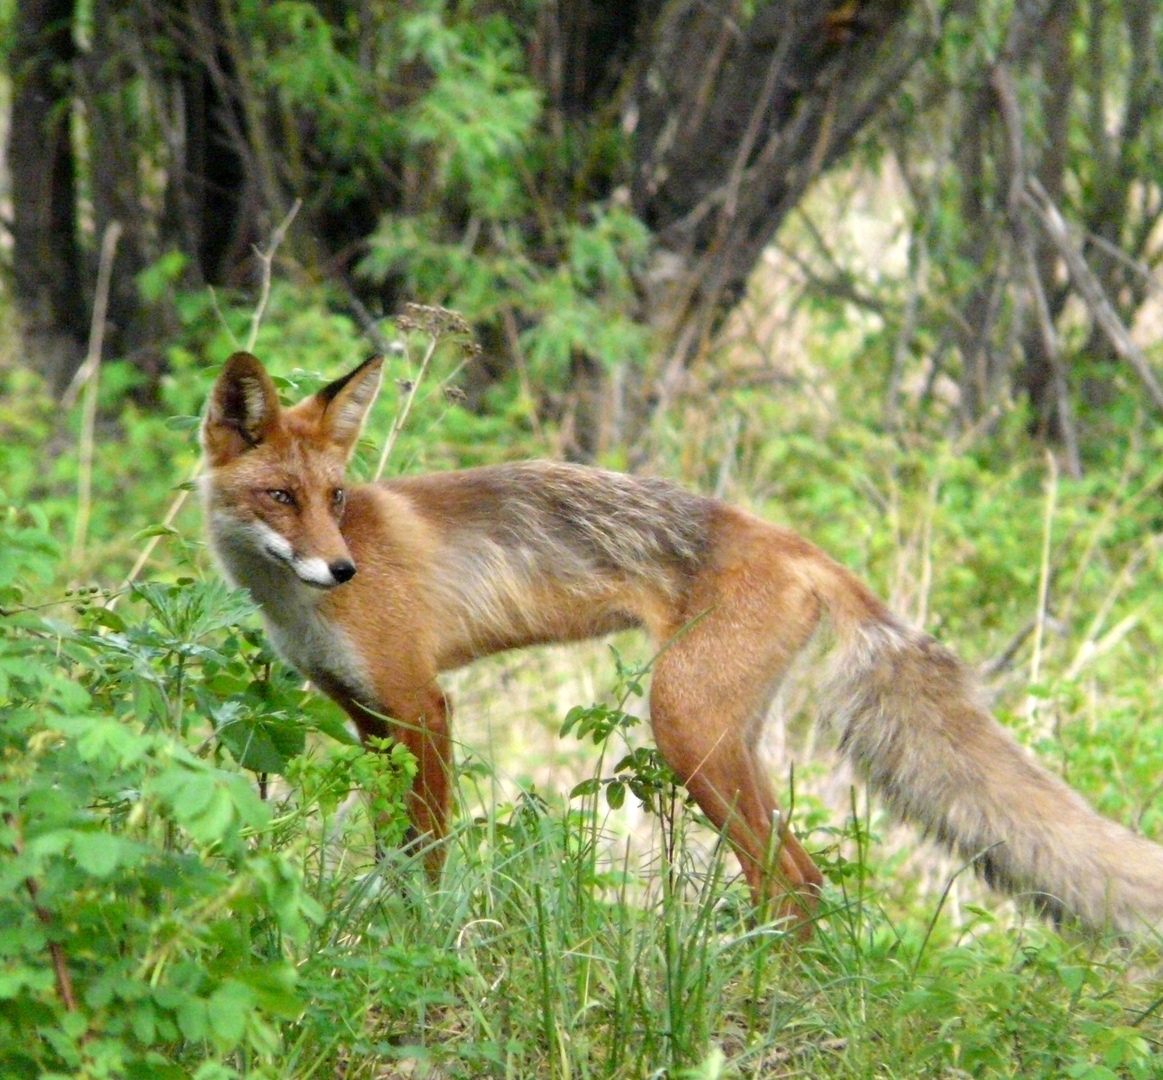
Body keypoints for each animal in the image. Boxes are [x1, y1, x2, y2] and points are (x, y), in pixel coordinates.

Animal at [202, 353, 1163, 934]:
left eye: (335, 496)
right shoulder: (368, 718)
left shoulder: (422, 703)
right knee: (805, 880)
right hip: (727, 736)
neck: (297, 607)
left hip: (684, 726)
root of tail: (797, 544)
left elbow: (428, 853)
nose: (342, 568)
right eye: (281, 497)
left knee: (791, 881)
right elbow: (392, 848)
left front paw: (425, 932)